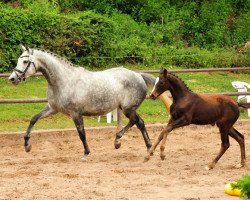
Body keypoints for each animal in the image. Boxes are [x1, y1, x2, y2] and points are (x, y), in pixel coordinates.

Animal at [8, 45, 172, 161]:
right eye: (18, 60)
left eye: (25, 61)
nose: (12, 79)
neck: (63, 81)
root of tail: (139, 75)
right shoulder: (52, 108)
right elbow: (33, 119)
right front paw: (27, 146)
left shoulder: (76, 113)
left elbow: (82, 134)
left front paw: (86, 153)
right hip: (127, 108)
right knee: (139, 122)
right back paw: (145, 147)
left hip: (127, 108)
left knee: (136, 121)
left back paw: (119, 141)